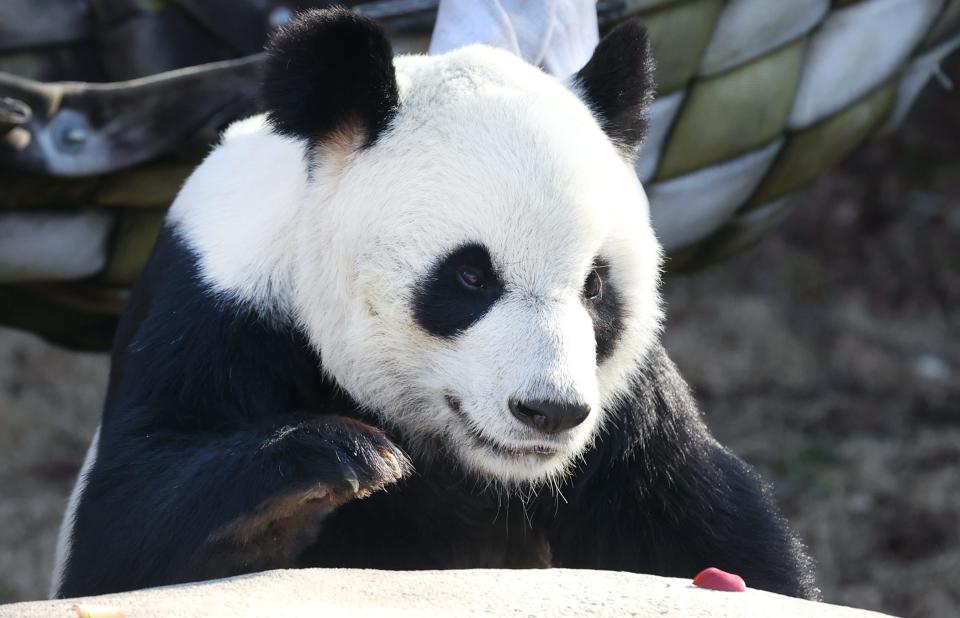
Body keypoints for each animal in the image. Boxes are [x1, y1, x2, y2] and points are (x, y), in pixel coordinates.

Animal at [50, 7, 816, 600]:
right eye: (470, 278)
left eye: (596, 286)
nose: (549, 411)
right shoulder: (217, 313)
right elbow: (121, 526)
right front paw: (330, 462)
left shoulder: (623, 410)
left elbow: (707, 524)